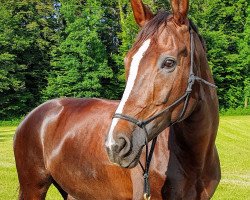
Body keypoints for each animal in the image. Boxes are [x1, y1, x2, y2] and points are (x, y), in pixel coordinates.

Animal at [14, 0, 221, 200]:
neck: (194, 161)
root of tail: (31, 116)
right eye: (127, 61)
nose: (115, 145)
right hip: (33, 188)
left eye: (169, 62)